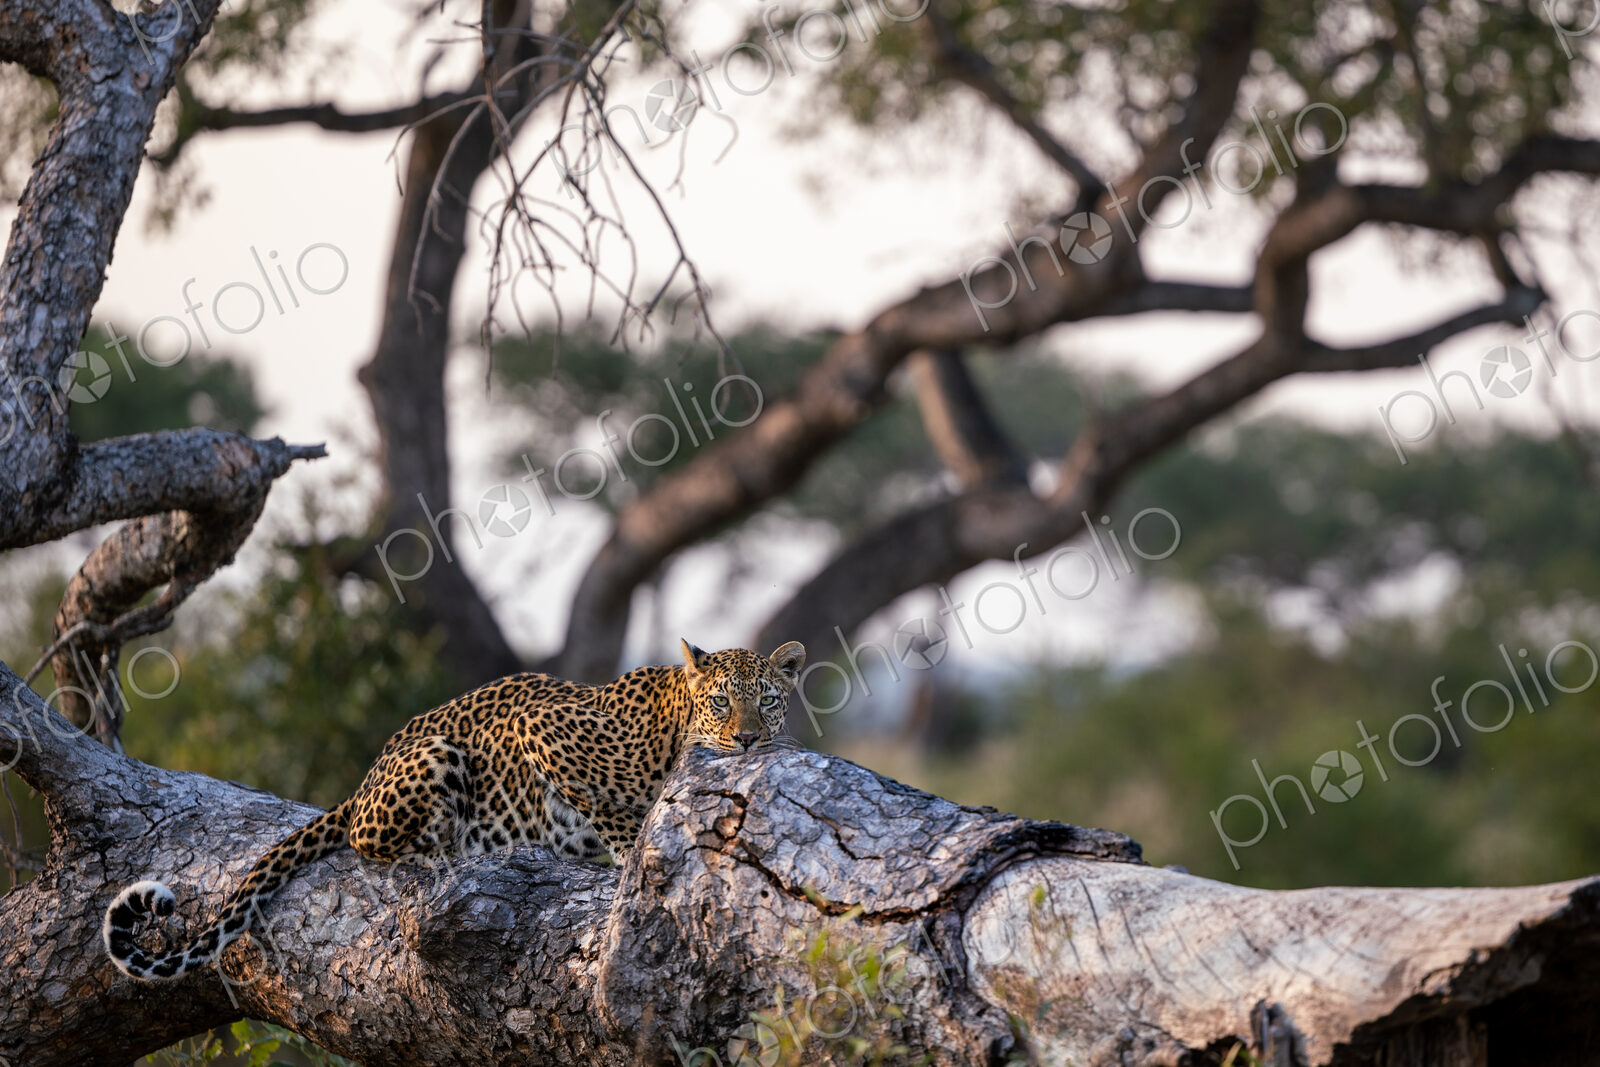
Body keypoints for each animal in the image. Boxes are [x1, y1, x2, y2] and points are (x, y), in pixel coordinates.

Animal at [104, 638, 806, 981]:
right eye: (721, 702)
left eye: (768, 701)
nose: (748, 740)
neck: (671, 731)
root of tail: (367, 773)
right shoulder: (542, 725)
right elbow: (605, 808)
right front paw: (629, 848)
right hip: (437, 756)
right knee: (366, 838)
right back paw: (446, 849)